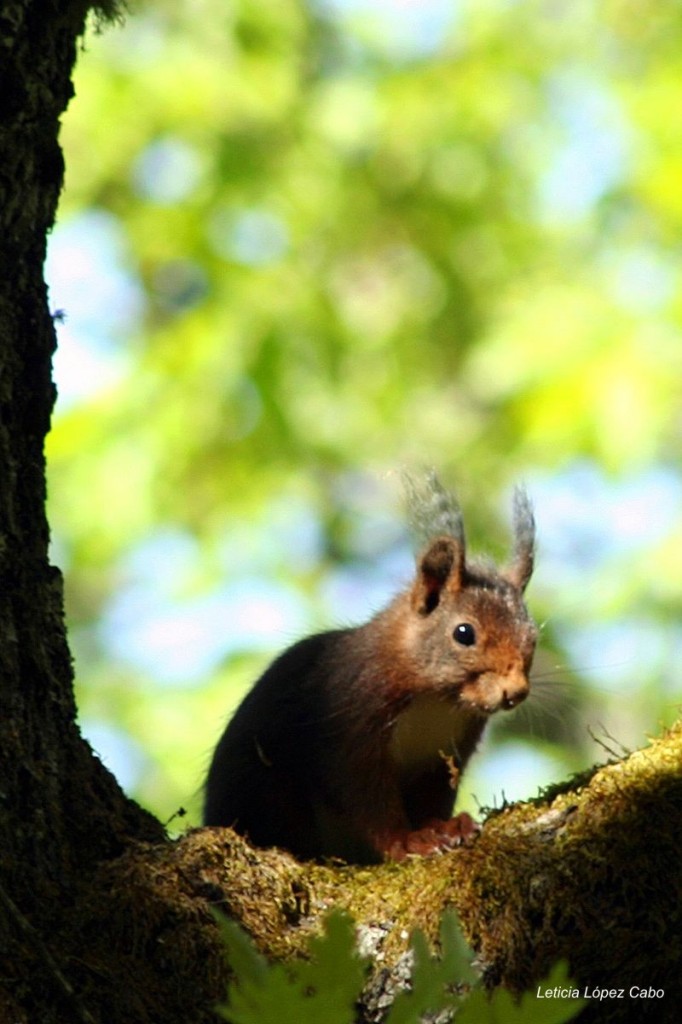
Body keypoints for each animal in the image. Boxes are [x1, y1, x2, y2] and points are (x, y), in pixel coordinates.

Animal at [203, 474, 537, 864]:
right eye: (464, 633)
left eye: (534, 637)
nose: (516, 692)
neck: (436, 700)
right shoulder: (351, 721)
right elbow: (366, 799)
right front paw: (408, 842)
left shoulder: (446, 752)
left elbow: (434, 797)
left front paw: (447, 827)